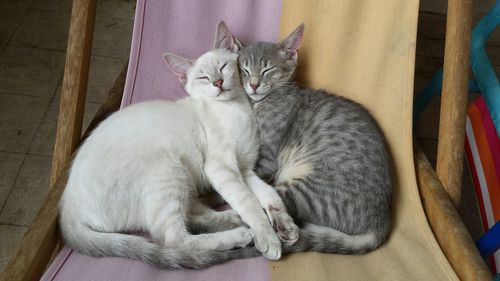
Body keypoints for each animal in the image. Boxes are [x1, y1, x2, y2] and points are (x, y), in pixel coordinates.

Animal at [58, 20, 296, 268]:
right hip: (168, 168)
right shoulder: (221, 168)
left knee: (191, 214)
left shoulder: (245, 169)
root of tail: (67, 209)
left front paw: (284, 224)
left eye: (223, 67)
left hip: (182, 178)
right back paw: (240, 233)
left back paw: (234, 219)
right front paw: (268, 237)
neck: (237, 108)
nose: (218, 82)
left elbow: (268, 193)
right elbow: (249, 202)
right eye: (203, 78)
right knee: (174, 239)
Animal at [221, 21, 392, 253]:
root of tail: (381, 224)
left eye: (268, 70)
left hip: (311, 189)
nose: (254, 85)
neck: (260, 103)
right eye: (245, 70)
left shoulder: (267, 157)